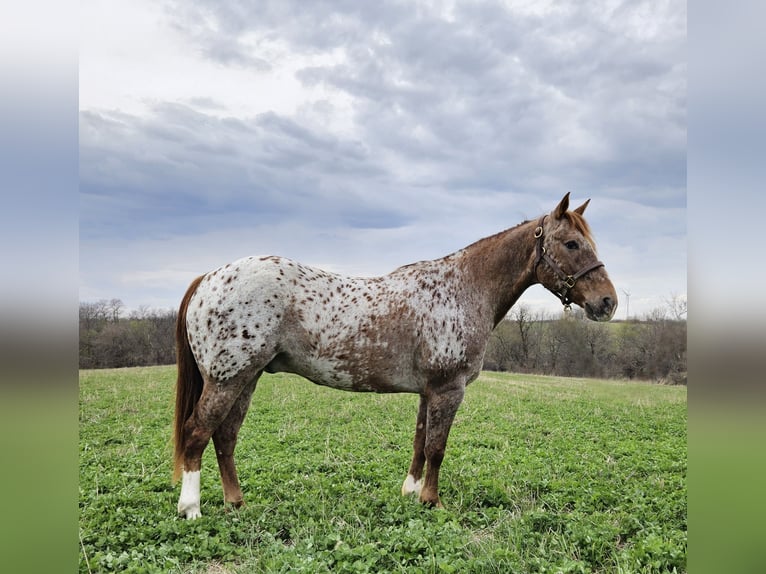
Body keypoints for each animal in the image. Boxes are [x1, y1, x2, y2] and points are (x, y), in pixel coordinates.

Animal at [174, 195, 616, 520]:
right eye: (572, 243)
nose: (607, 303)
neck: (463, 288)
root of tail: (209, 278)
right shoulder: (448, 390)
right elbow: (437, 448)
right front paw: (432, 501)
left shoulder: (429, 391)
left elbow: (420, 442)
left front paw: (410, 492)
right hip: (228, 379)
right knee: (197, 434)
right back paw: (191, 509)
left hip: (246, 379)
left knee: (224, 438)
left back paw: (236, 503)